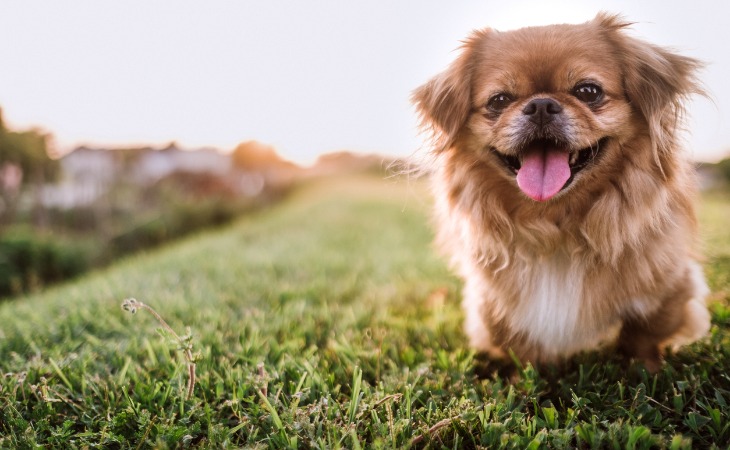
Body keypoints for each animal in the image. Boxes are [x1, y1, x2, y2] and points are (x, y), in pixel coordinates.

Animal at [412, 13, 708, 372]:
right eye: (499, 100)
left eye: (588, 91)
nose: (541, 104)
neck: (556, 225)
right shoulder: (495, 304)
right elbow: (517, 345)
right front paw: (521, 378)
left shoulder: (667, 286)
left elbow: (643, 337)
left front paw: (645, 372)